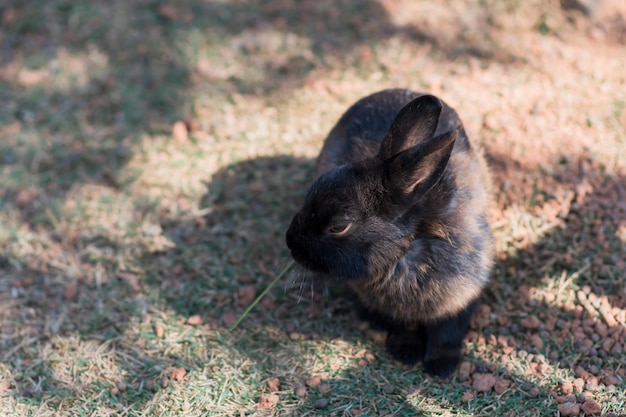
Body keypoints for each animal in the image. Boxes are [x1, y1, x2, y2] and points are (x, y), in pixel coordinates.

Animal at [284, 88, 492, 376]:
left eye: (338, 226)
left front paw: (442, 366)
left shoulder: (461, 296)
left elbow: (447, 332)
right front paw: (405, 354)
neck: (408, 248)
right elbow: (402, 326)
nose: (290, 242)